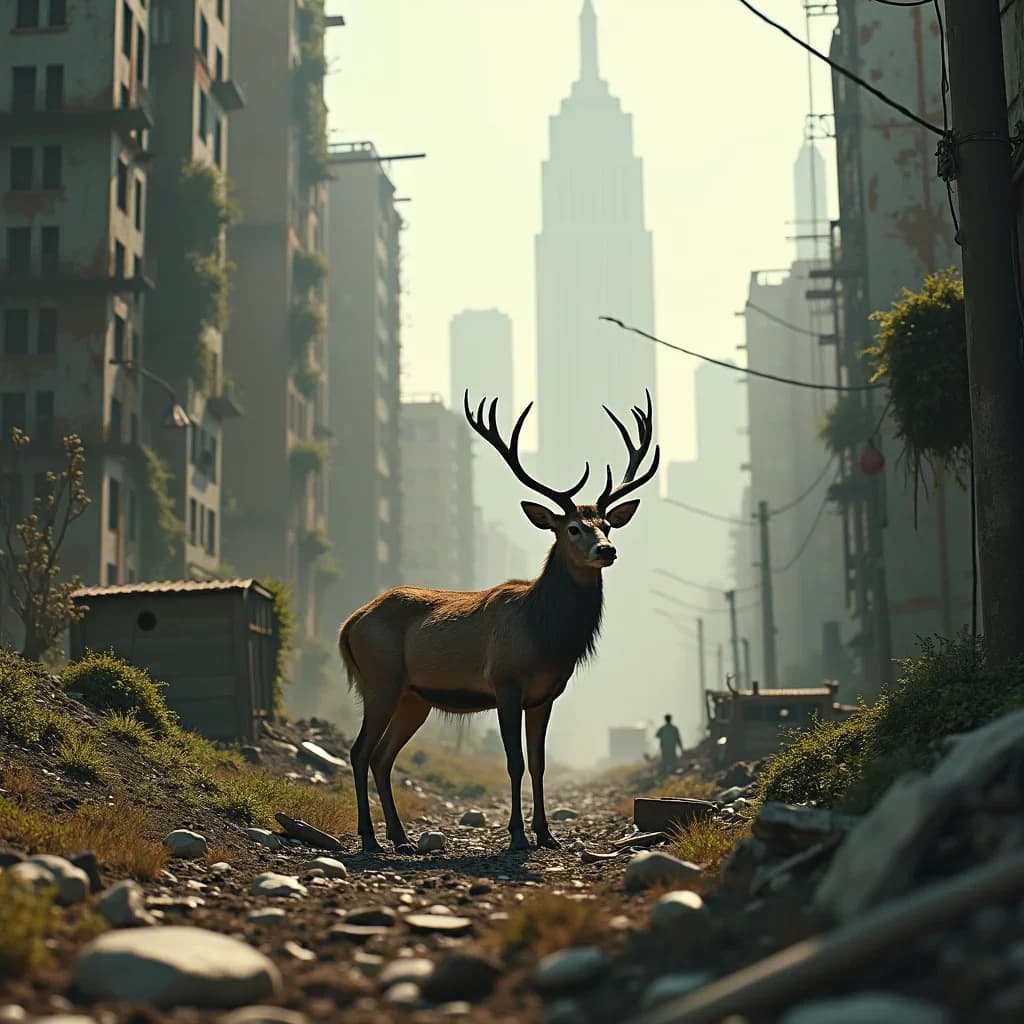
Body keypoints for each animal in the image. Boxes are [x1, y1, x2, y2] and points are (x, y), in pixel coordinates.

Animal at [338, 389, 660, 854]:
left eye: (606, 524)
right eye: (572, 528)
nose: (607, 550)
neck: (545, 635)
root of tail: (349, 625)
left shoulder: (545, 694)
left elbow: (540, 763)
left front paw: (547, 834)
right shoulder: (506, 682)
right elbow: (514, 762)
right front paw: (518, 835)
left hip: (414, 697)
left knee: (382, 757)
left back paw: (402, 838)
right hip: (380, 680)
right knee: (359, 750)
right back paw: (370, 839)